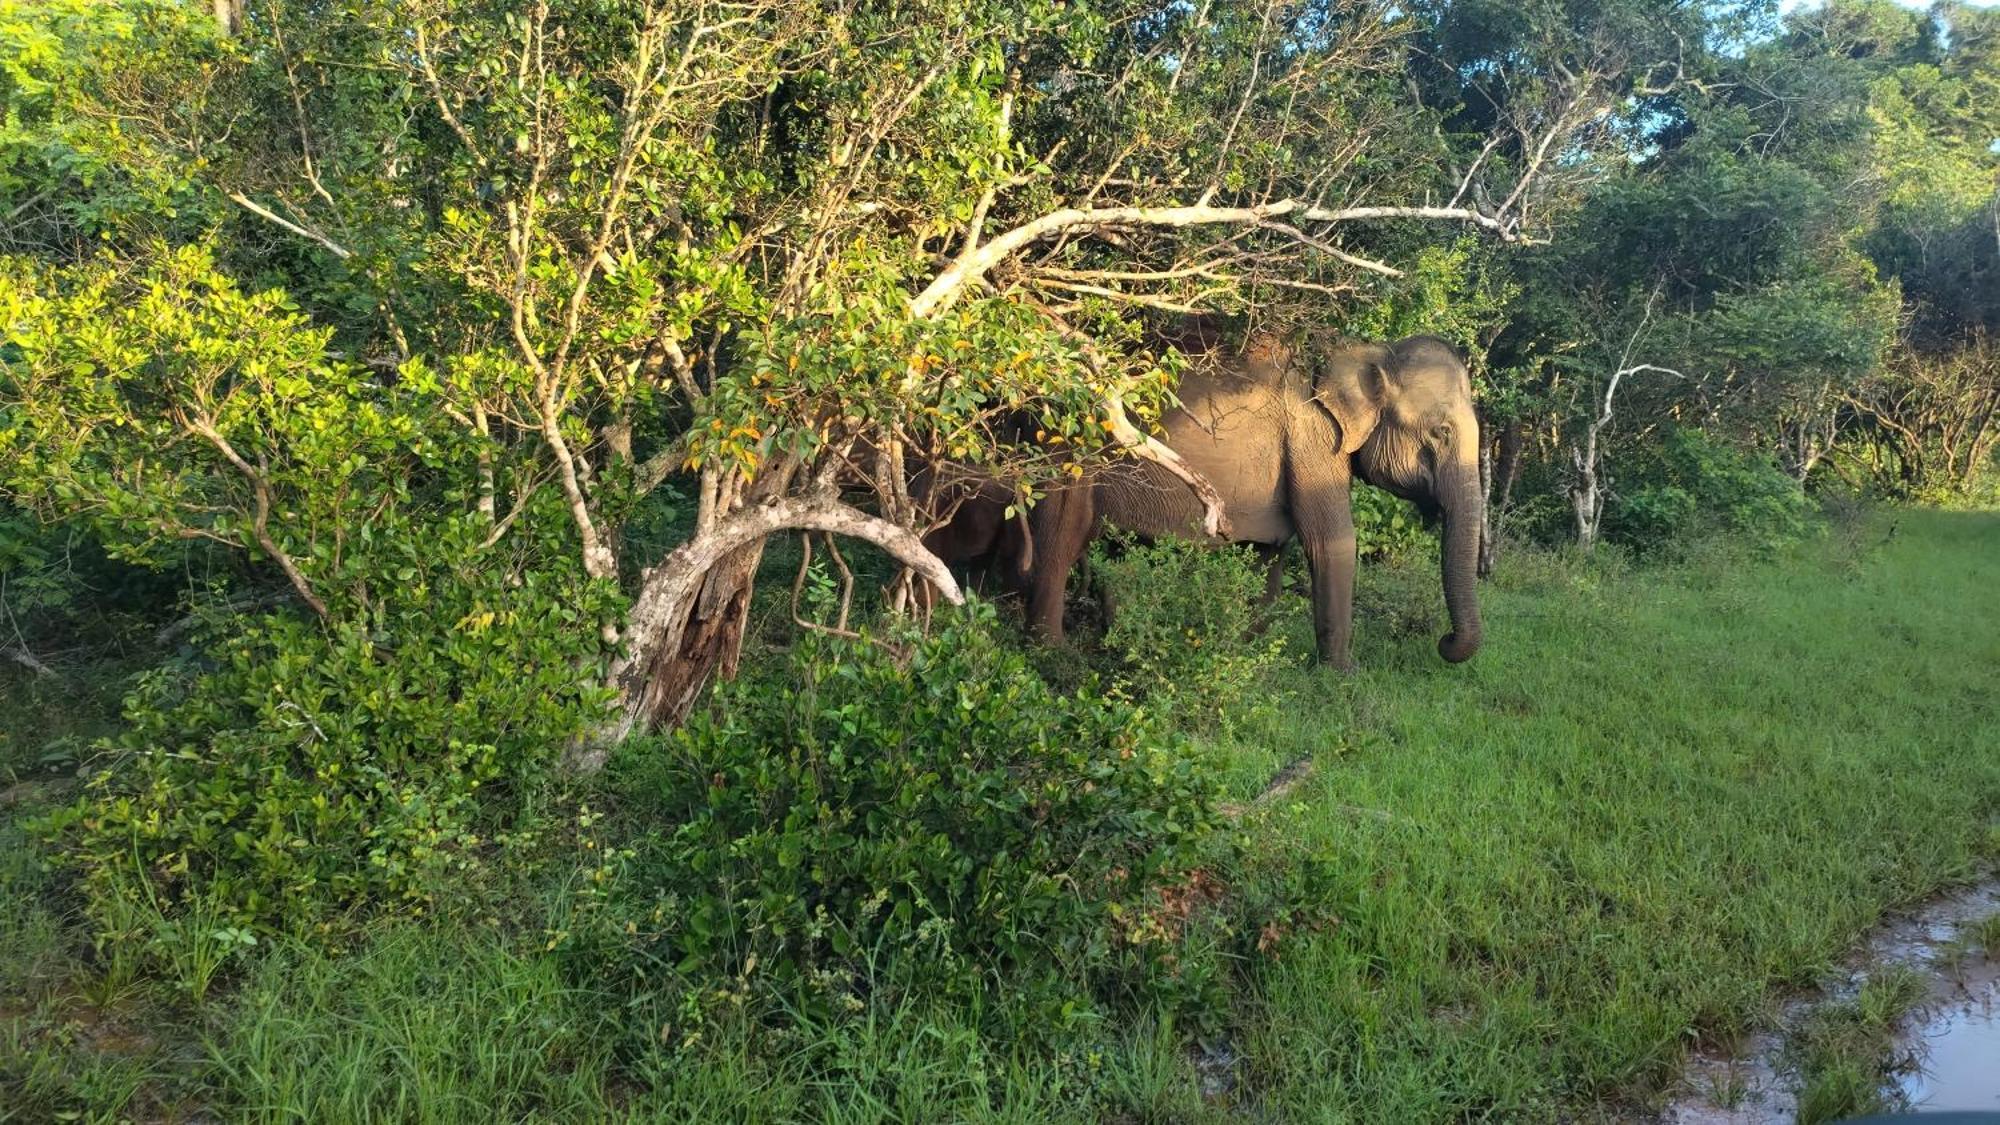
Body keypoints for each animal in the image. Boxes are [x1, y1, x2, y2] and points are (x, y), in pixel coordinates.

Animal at [1024, 330, 1480, 664]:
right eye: (1441, 432)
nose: (1444, 640)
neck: (1368, 350)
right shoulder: (1313, 436)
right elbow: (1331, 542)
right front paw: (1340, 675)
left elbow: (1269, 553)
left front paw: (1247, 649)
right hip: (1069, 455)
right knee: (1060, 540)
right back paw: (1053, 654)